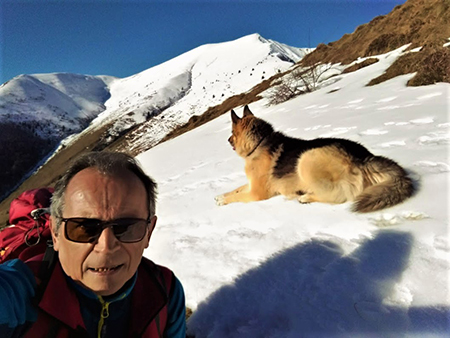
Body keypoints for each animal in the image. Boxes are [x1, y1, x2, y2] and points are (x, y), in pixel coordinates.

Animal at [214, 105, 414, 213]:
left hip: (306, 159)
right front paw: (220, 196)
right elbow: (236, 189)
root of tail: (364, 157)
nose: (228, 140)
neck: (260, 143)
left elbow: (238, 196)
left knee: (339, 195)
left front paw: (224, 201)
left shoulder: (257, 193)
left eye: (232, 133)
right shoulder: (251, 183)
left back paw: (305, 197)